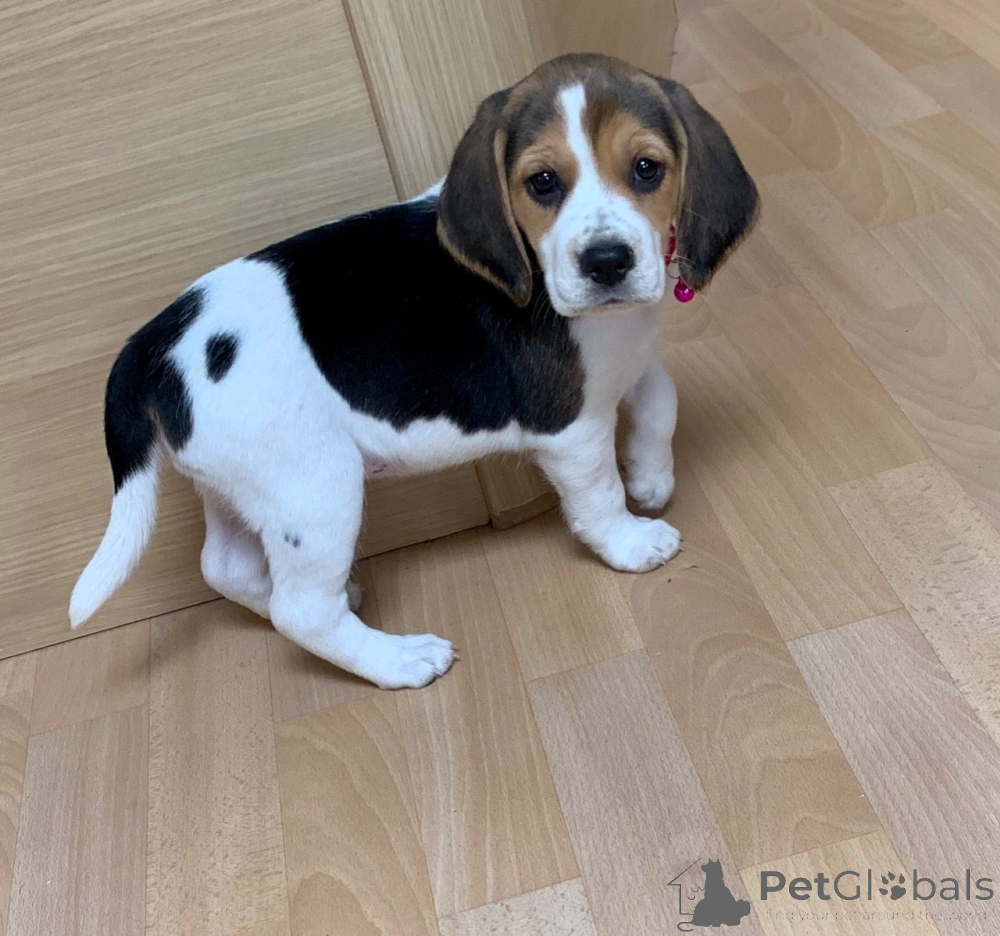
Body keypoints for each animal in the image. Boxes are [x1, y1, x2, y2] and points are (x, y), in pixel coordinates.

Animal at [70, 53, 757, 689]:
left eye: (647, 169)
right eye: (542, 182)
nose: (607, 262)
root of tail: (153, 343)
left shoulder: (624, 362)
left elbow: (661, 396)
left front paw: (651, 476)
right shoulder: (568, 425)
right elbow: (599, 494)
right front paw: (631, 540)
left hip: (243, 480)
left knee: (228, 569)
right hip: (315, 486)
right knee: (302, 612)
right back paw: (397, 659)